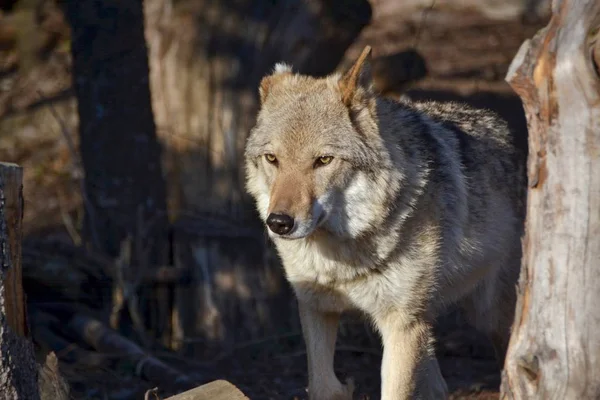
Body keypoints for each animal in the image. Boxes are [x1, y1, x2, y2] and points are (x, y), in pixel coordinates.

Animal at [244, 45, 524, 398]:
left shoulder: (401, 324)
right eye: (272, 159)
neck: (341, 259)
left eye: (323, 160)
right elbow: (323, 385)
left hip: (488, 315)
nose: (279, 222)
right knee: (438, 385)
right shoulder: (316, 308)